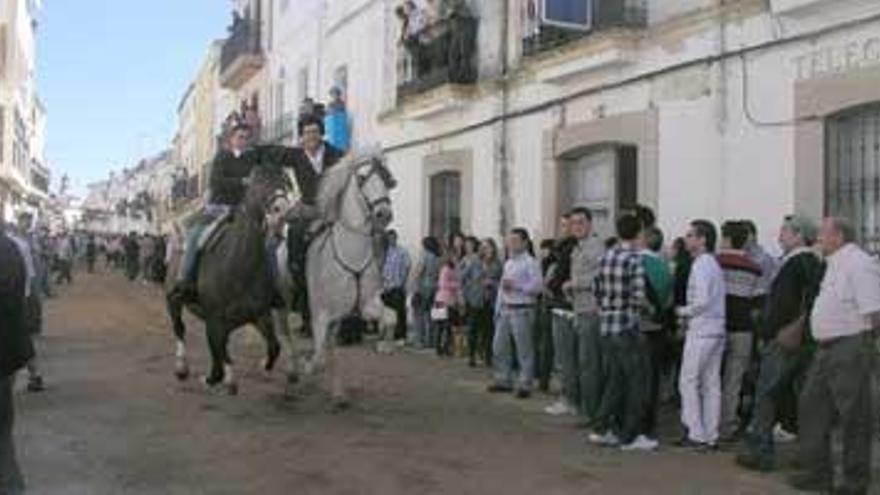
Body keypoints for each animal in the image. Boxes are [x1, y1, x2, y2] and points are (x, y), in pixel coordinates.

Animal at [168, 167, 296, 396]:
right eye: (259, 184)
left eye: (286, 183)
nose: (282, 210)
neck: (238, 264)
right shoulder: (215, 317)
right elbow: (219, 353)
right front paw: (217, 379)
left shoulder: (259, 314)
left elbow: (274, 347)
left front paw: (262, 365)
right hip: (173, 297)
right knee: (179, 327)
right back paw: (182, 368)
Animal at [276, 150, 398, 406]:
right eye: (361, 177)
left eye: (385, 177)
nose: (384, 213)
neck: (350, 251)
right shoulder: (319, 314)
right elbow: (318, 358)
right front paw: (306, 366)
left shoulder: (365, 303)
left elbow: (391, 317)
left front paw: (385, 343)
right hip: (283, 301)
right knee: (284, 332)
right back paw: (293, 371)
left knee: (329, 344)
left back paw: (337, 393)